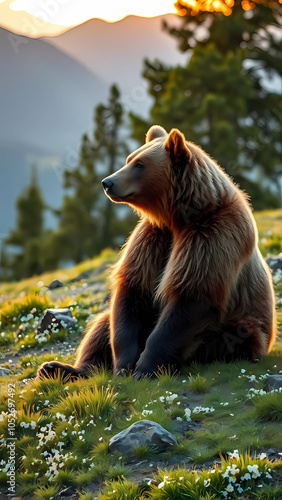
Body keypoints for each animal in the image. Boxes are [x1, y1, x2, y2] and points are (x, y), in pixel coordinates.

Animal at [37, 127, 276, 380]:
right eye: (129, 159)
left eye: (139, 164)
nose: (107, 182)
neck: (178, 217)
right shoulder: (152, 238)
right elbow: (132, 291)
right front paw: (124, 365)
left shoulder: (212, 237)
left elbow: (191, 296)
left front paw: (144, 368)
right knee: (101, 326)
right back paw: (57, 368)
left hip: (243, 329)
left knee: (219, 337)